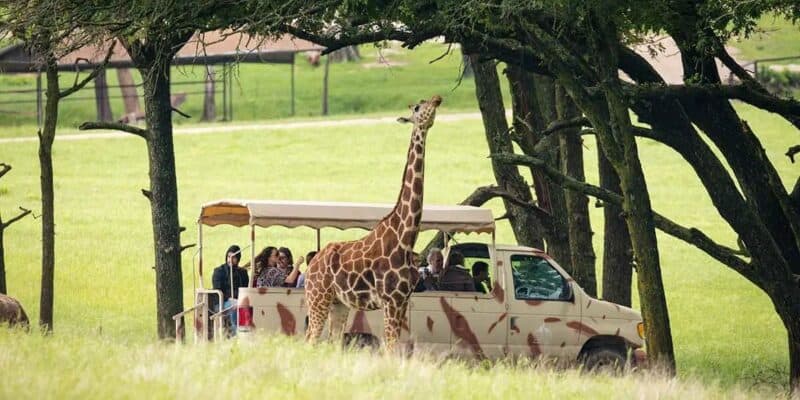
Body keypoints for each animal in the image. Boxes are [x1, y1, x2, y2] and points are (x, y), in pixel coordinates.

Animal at [304, 95, 443, 351]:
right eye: (418, 107)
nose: (438, 98)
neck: (406, 237)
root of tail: (310, 266)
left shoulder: (403, 300)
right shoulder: (391, 300)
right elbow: (390, 347)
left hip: (339, 303)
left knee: (333, 341)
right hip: (318, 298)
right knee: (310, 339)